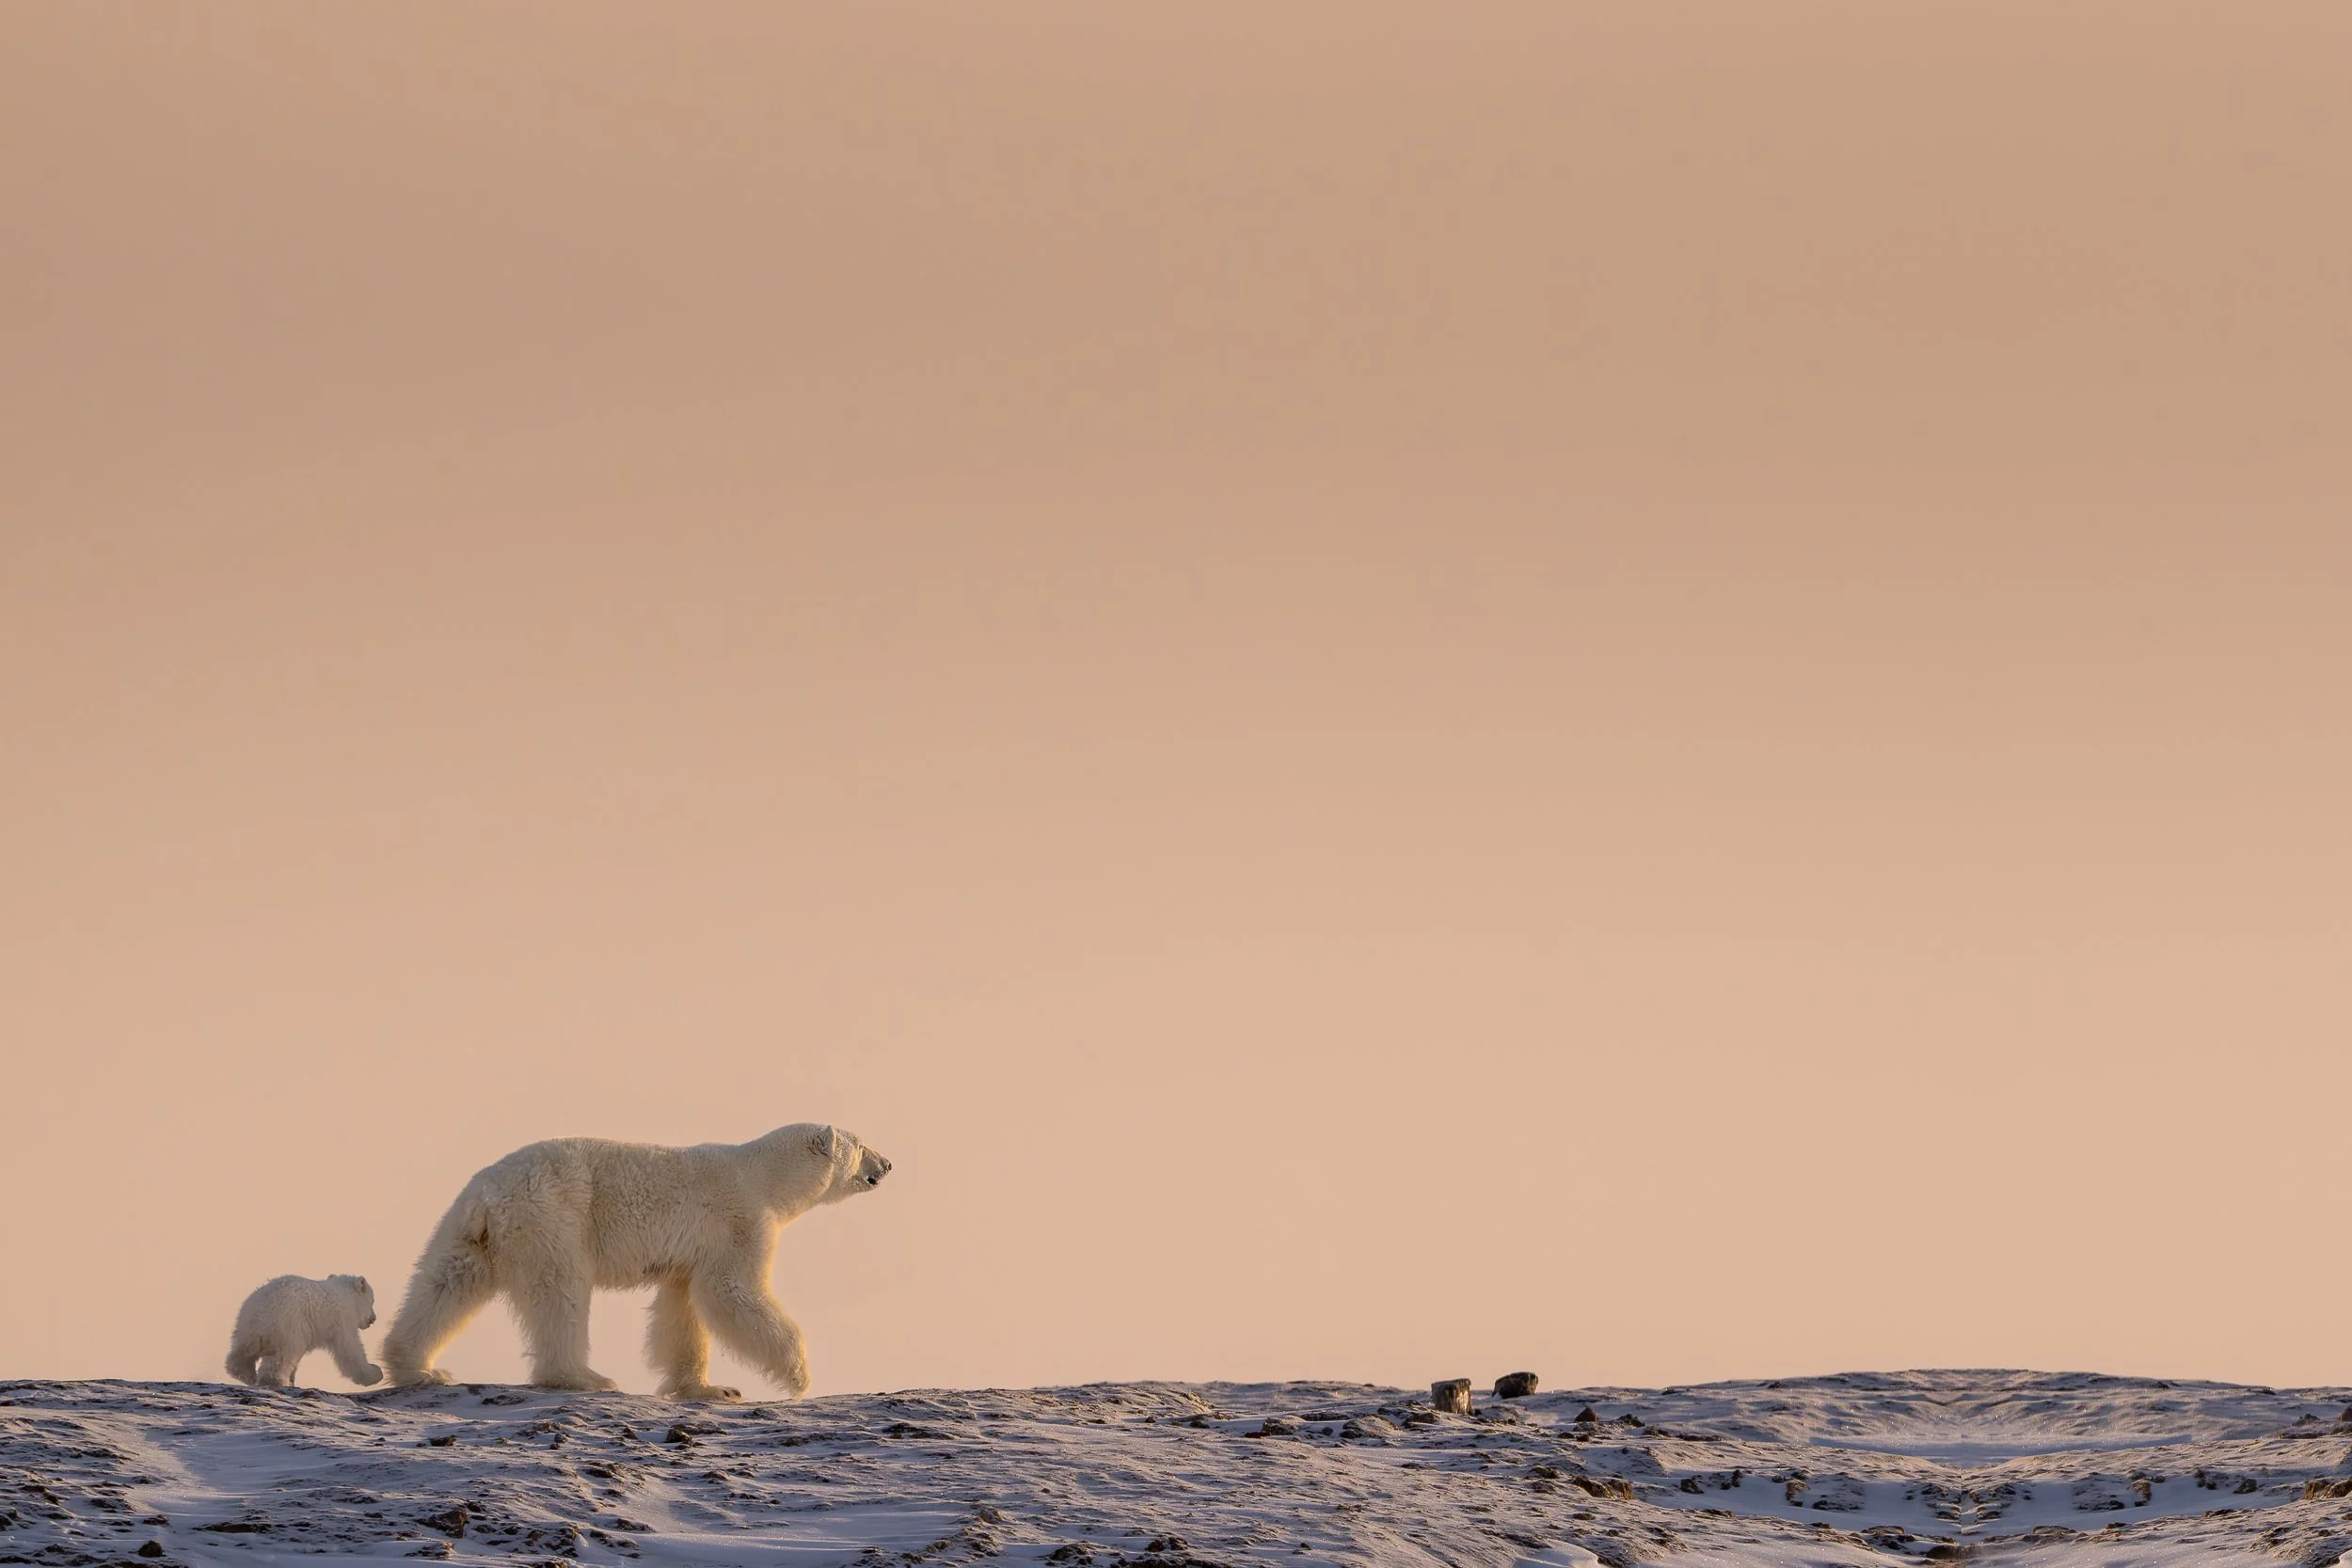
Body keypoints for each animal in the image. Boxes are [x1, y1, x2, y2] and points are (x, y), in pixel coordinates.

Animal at [225, 1274, 381, 1388]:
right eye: (373, 1301)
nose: (373, 1319)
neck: (346, 1295)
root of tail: (261, 1314)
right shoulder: (341, 1320)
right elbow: (350, 1349)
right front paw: (375, 1372)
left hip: (247, 1328)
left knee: (242, 1352)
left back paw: (246, 1374)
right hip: (289, 1327)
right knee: (283, 1356)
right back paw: (276, 1381)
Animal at [381, 1123, 890, 1400]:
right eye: (862, 1144)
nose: (888, 1165)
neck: (765, 1177)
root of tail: (488, 1195)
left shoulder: (690, 1252)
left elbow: (683, 1308)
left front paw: (711, 1389)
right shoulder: (739, 1219)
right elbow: (732, 1291)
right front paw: (797, 1376)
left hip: (471, 1233)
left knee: (445, 1284)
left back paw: (418, 1366)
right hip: (555, 1215)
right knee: (561, 1292)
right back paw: (584, 1376)